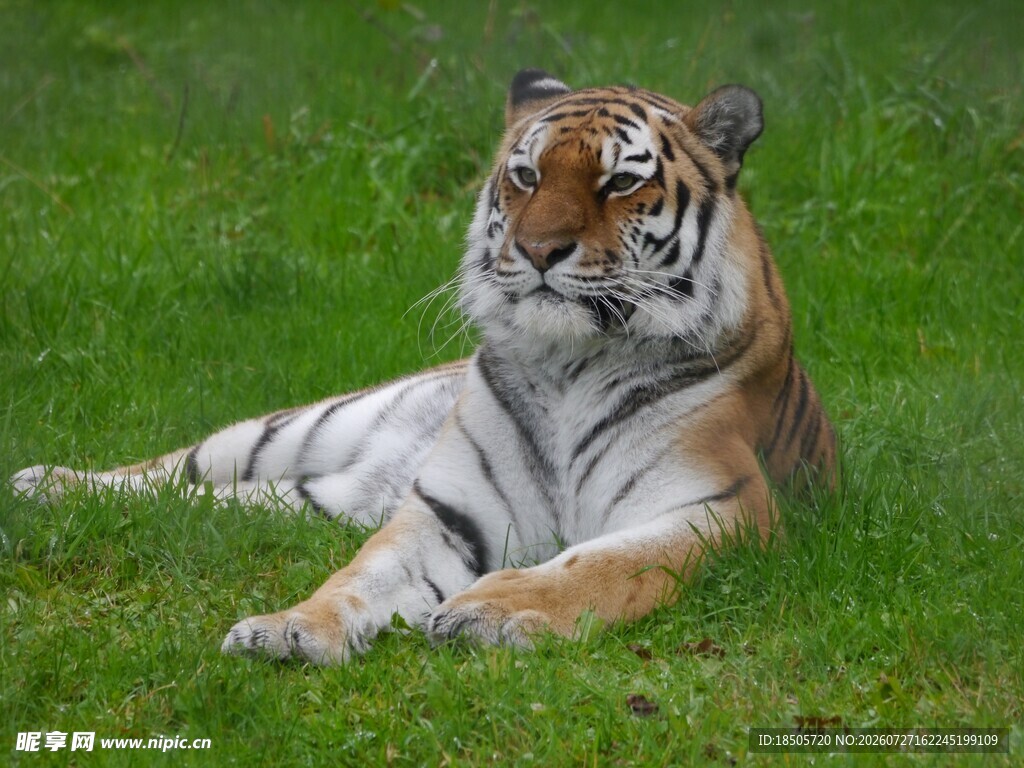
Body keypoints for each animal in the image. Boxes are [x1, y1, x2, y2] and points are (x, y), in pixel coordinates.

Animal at [11, 69, 836, 664]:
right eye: (527, 177)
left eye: (620, 182)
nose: (539, 250)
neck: (568, 364)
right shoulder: (446, 509)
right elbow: (361, 573)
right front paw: (289, 628)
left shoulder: (720, 507)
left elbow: (600, 565)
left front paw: (491, 610)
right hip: (297, 430)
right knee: (166, 471)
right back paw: (45, 484)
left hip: (316, 497)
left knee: (206, 500)